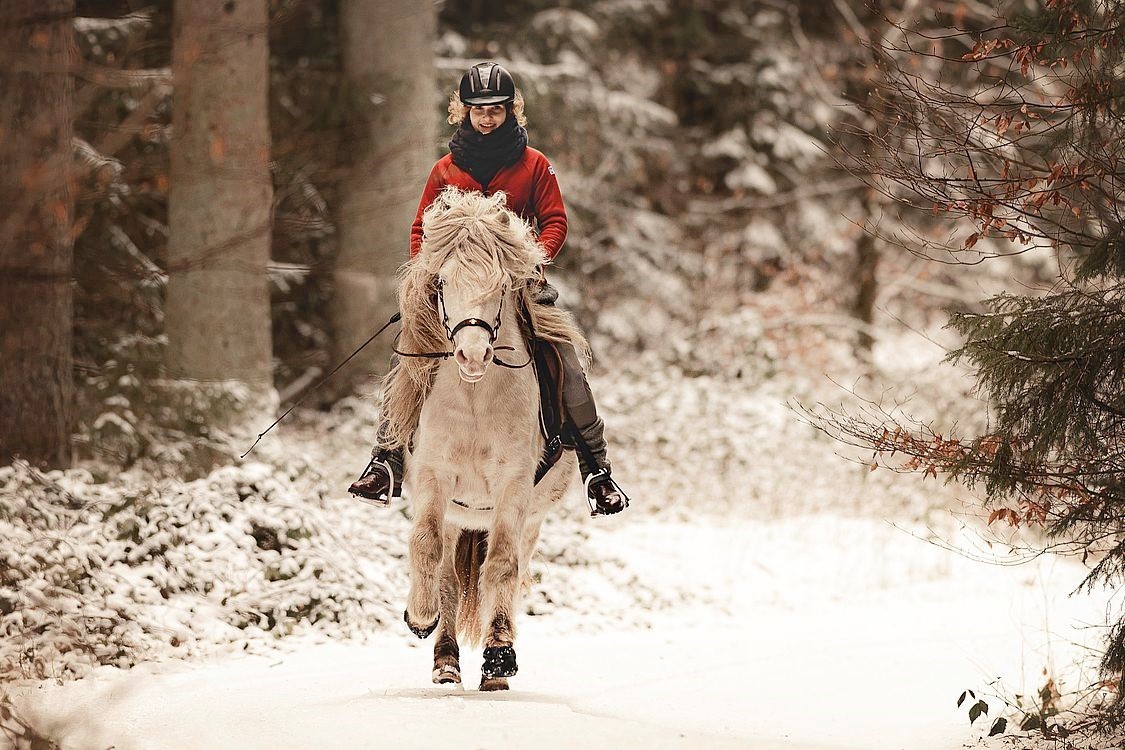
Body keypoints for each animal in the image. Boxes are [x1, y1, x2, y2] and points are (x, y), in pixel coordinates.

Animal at [380, 187, 589, 692]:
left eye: (500, 284)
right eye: (442, 282)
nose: (472, 355)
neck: (475, 397)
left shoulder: (513, 485)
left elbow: (502, 566)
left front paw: (497, 661)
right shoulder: (435, 476)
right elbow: (426, 547)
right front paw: (419, 617)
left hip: (530, 516)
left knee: (510, 571)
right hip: (459, 514)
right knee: (451, 578)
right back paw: (446, 662)